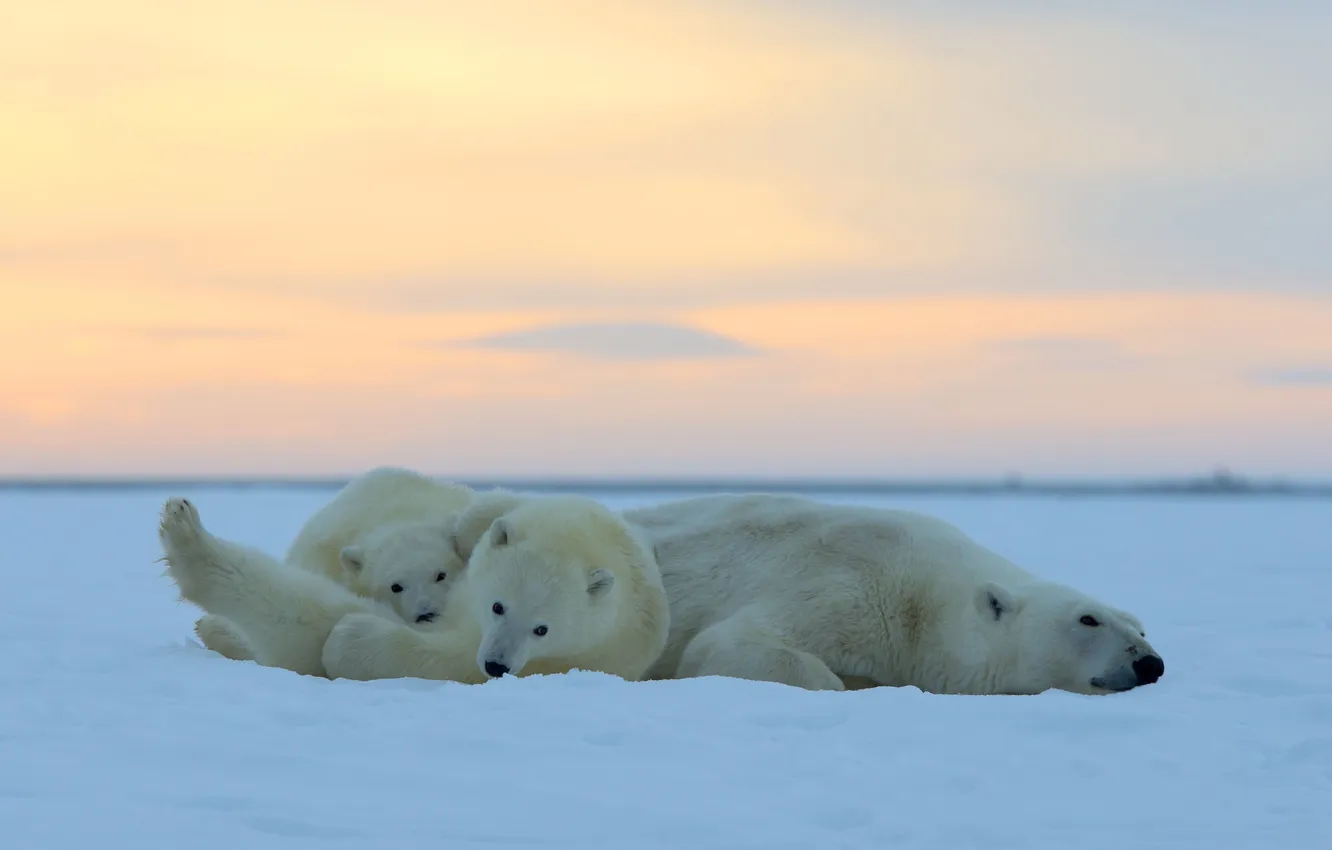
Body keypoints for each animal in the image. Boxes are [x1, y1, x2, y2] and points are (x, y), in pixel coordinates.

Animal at [321, 492, 671, 684]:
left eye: (542, 629)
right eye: (498, 606)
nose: (496, 665)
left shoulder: (569, 657)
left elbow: (448, 658)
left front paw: (347, 637)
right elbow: (486, 513)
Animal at [618, 493, 1165, 695]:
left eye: (1141, 625)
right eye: (1088, 619)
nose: (1150, 663)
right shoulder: (848, 581)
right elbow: (724, 643)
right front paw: (840, 679)